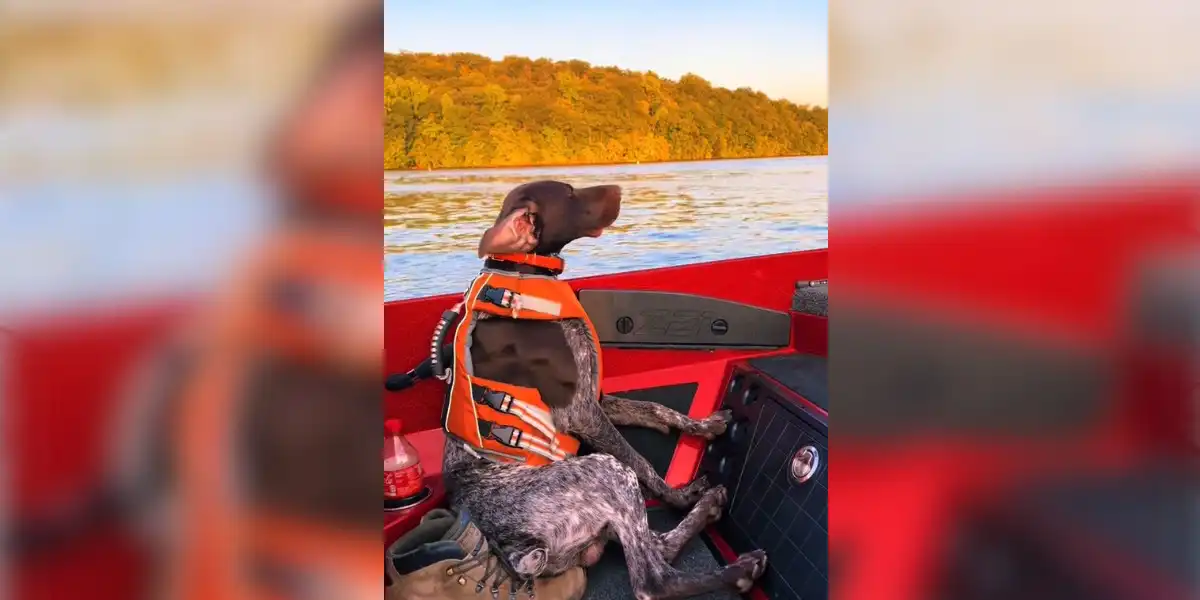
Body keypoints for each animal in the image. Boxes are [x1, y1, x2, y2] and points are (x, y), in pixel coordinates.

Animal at [441, 180, 768, 597]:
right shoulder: (581, 412)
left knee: (656, 544)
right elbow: (640, 460)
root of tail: (512, 549)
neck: (522, 275)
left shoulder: (593, 395)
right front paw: (676, 495)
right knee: (652, 578)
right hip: (605, 474)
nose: (620, 188)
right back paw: (737, 567)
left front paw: (703, 426)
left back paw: (707, 506)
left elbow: (654, 408)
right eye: (568, 193)